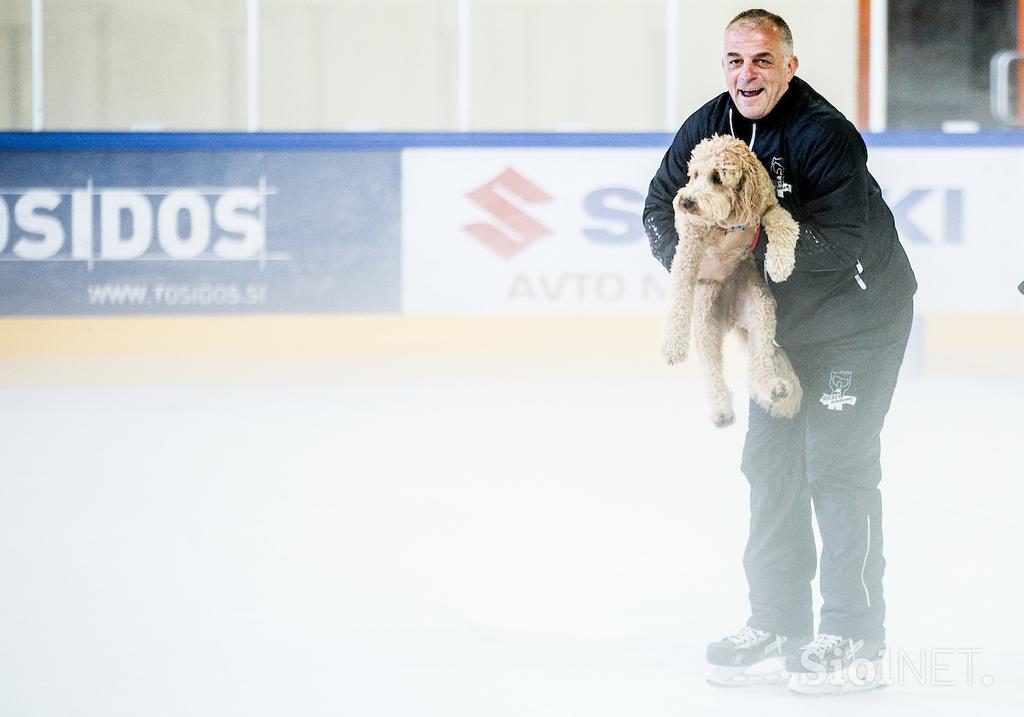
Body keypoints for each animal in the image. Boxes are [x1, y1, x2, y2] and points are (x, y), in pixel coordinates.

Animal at [667, 134, 802, 426]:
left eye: (717, 177)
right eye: (694, 175)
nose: (686, 202)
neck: (724, 221)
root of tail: (732, 315)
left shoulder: (768, 208)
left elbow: (782, 222)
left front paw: (780, 263)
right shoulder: (690, 245)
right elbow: (679, 293)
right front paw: (673, 345)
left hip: (760, 309)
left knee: (761, 357)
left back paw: (772, 387)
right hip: (705, 323)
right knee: (712, 369)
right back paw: (721, 409)